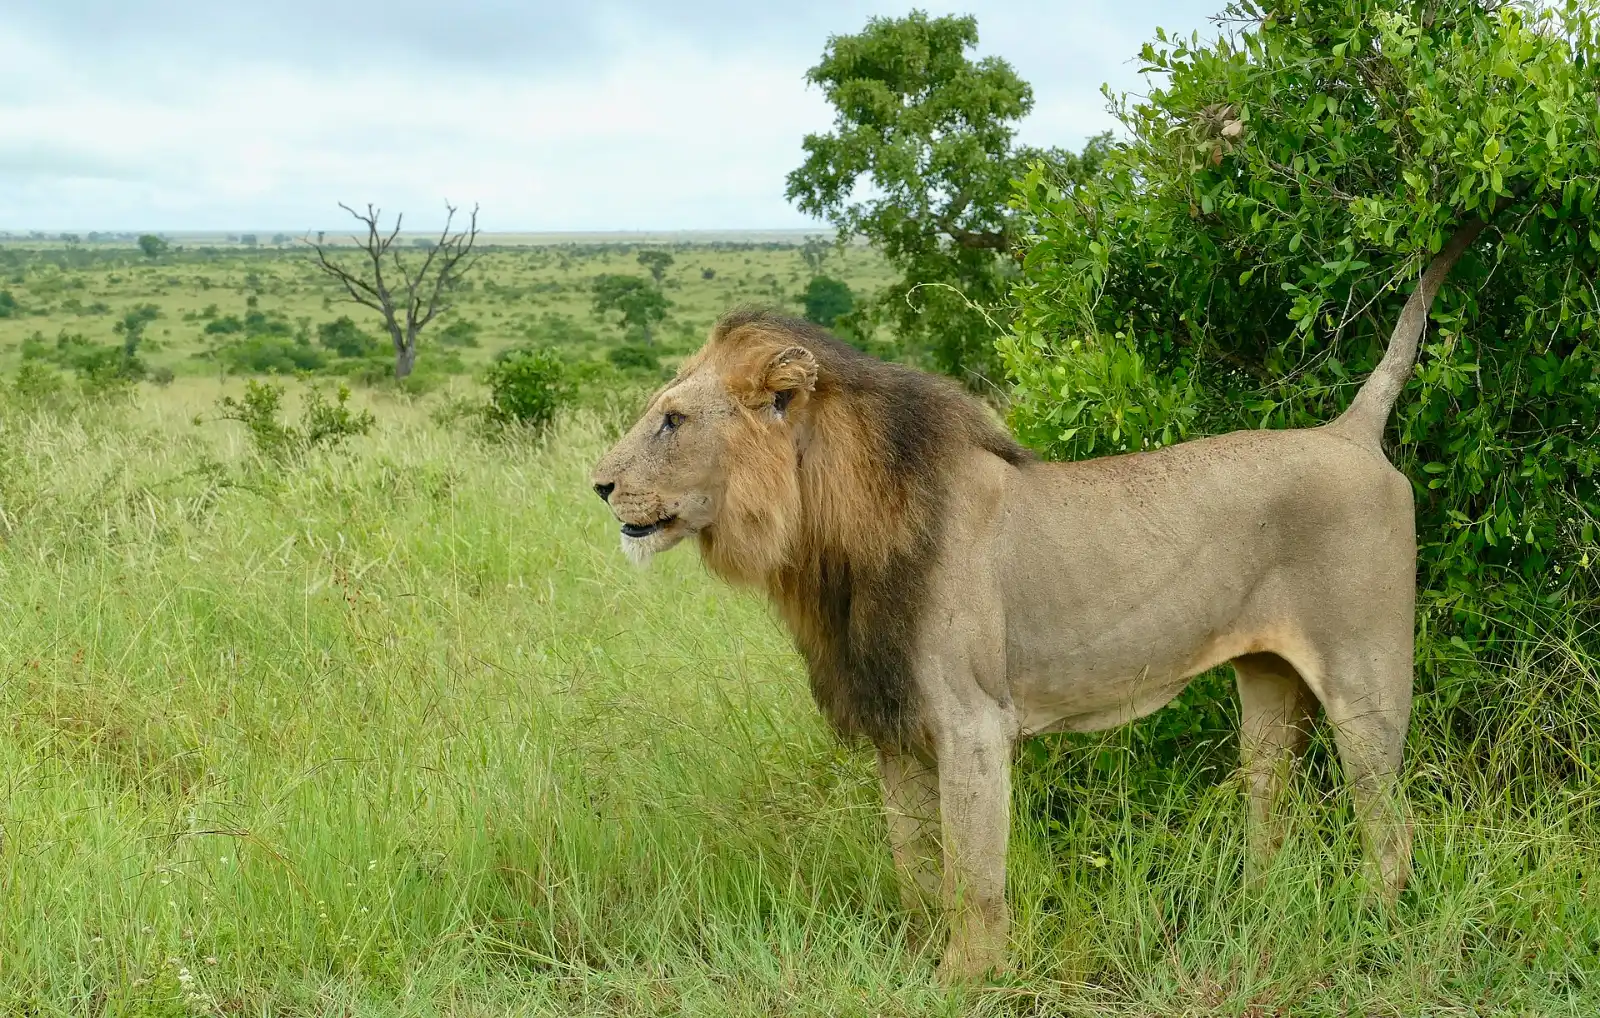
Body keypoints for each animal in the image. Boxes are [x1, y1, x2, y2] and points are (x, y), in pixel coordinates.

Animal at [590, 223, 1489, 979]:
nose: (598, 485)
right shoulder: (895, 727)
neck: (827, 543)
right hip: (1268, 683)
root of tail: (1351, 432)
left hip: (1366, 681)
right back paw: (1255, 910)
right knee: (1275, 806)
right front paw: (916, 961)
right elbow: (914, 865)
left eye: (672, 421)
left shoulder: (972, 722)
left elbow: (971, 877)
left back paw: (1374, 930)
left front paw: (967, 980)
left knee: (1392, 825)